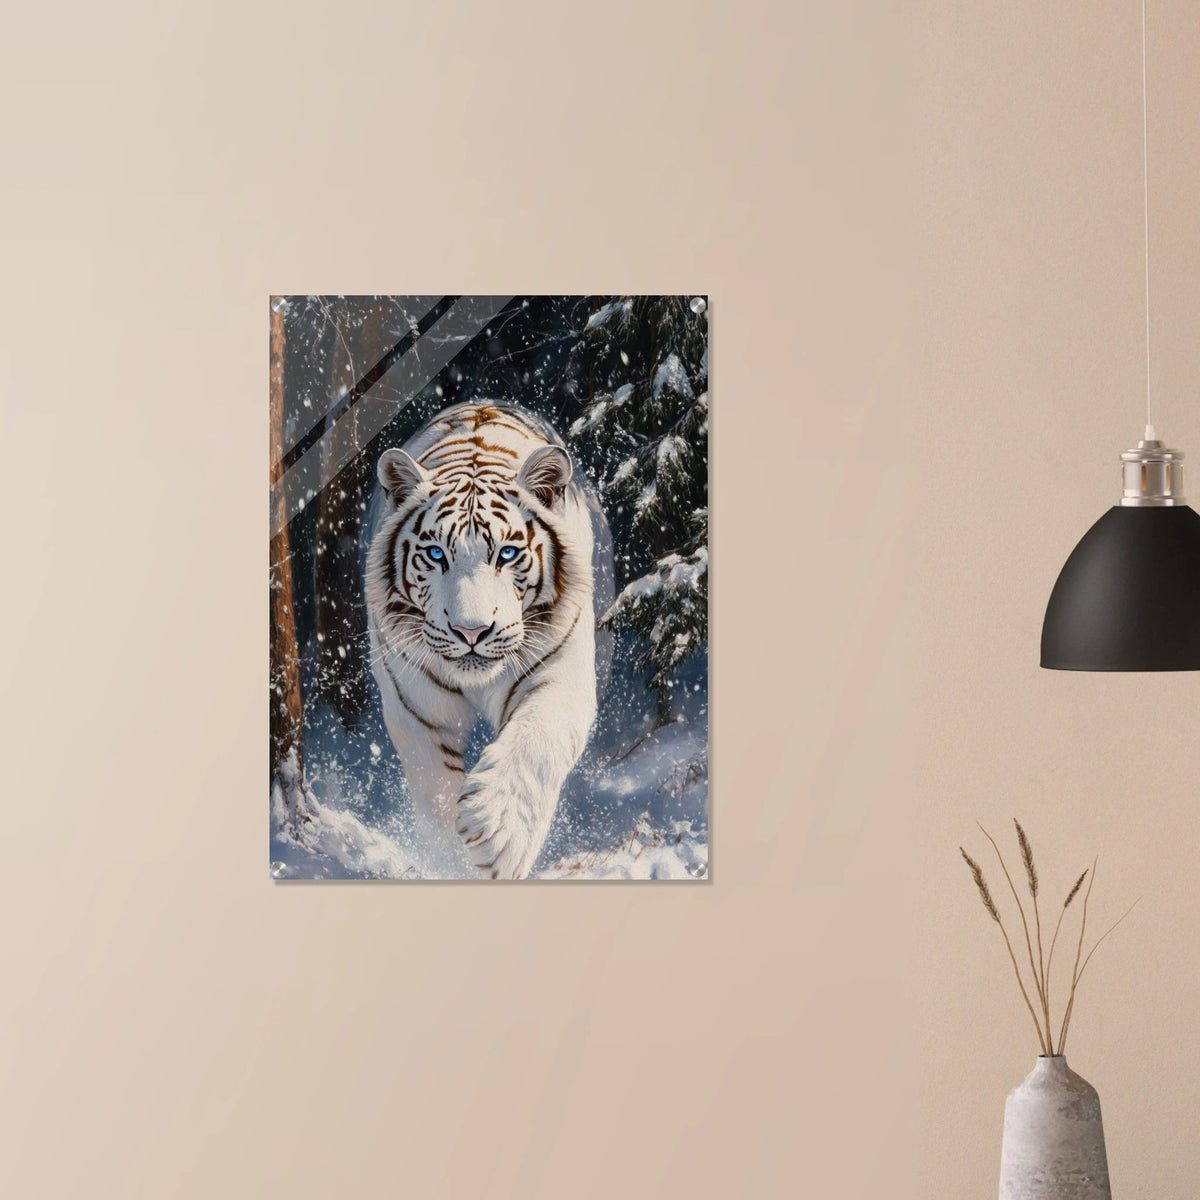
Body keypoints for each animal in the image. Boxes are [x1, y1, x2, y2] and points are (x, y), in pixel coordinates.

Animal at [364, 402, 605, 879]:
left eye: (507, 553)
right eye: (436, 554)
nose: (471, 631)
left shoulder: (560, 674)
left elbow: (536, 741)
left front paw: (498, 831)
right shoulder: (415, 707)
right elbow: (434, 790)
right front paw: (453, 863)